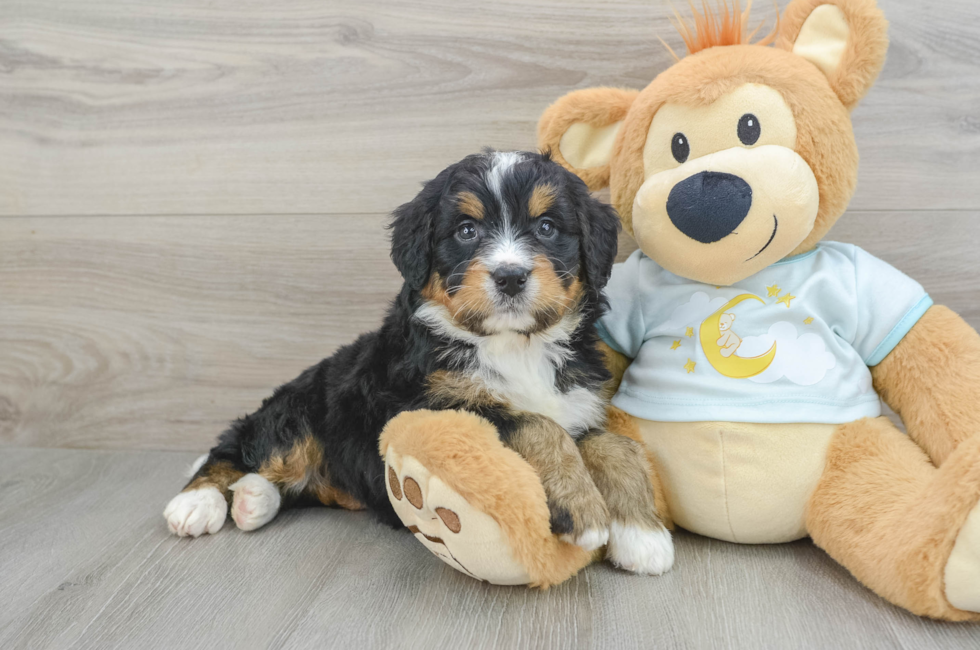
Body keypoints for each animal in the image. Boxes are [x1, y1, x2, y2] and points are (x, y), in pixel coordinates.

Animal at [167, 151, 672, 572]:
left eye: (547, 227)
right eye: (466, 231)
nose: (510, 276)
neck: (515, 346)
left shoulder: (578, 403)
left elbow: (617, 447)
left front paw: (642, 536)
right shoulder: (430, 401)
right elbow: (536, 425)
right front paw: (585, 511)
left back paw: (253, 500)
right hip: (297, 413)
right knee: (237, 449)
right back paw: (198, 503)